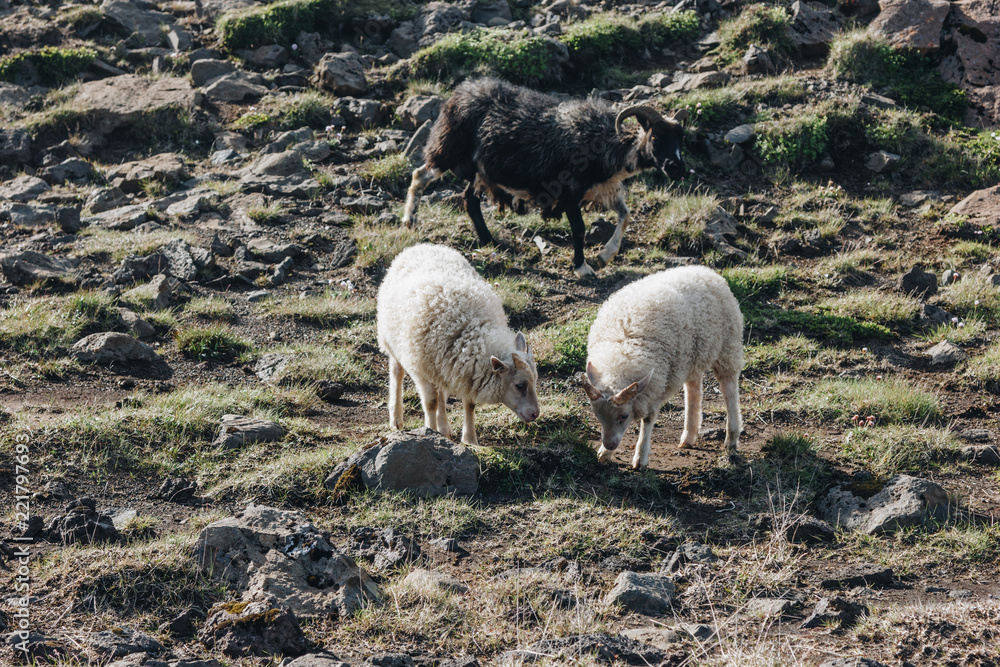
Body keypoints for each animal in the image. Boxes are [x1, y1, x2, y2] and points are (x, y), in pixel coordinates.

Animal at [376, 243, 540, 446]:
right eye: (519, 385)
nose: (535, 414)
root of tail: (422, 245)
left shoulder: (467, 372)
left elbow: (469, 405)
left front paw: (469, 439)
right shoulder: (422, 369)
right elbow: (430, 403)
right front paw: (429, 432)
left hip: (439, 365)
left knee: (441, 392)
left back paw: (444, 429)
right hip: (392, 341)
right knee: (397, 374)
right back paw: (397, 419)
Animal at [400, 77, 688, 276]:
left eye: (681, 139)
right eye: (656, 137)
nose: (678, 168)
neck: (607, 142)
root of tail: (461, 92)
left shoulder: (602, 189)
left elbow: (625, 216)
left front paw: (604, 256)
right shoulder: (570, 191)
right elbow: (579, 229)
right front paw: (582, 268)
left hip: (481, 170)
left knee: (469, 199)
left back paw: (489, 240)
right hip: (448, 149)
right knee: (420, 175)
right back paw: (409, 222)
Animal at [580, 266, 744, 470]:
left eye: (624, 416)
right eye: (597, 415)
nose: (609, 444)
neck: (623, 350)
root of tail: (704, 270)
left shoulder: (659, 384)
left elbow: (648, 419)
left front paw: (640, 457)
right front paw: (605, 453)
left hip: (727, 346)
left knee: (729, 388)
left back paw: (732, 438)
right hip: (691, 356)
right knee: (694, 389)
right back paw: (688, 436)